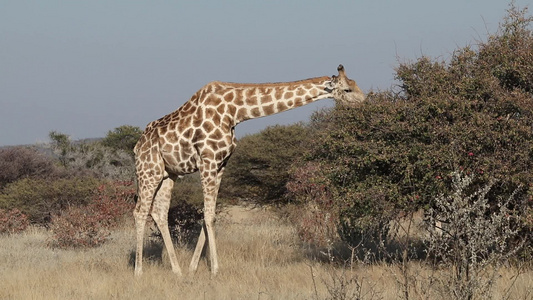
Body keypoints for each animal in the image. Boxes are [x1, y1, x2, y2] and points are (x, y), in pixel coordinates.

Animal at [135, 64, 364, 276]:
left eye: (355, 84)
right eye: (347, 89)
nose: (365, 101)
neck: (236, 112)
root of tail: (137, 147)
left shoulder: (221, 164)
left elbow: (210, 214)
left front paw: (192, 268)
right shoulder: (207, 160)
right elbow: (208, 215)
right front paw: (215, 269)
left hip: (168, 174)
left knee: (159, 212)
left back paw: (177, 271)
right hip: (149, 170)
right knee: (140, 211)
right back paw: (138, 271)